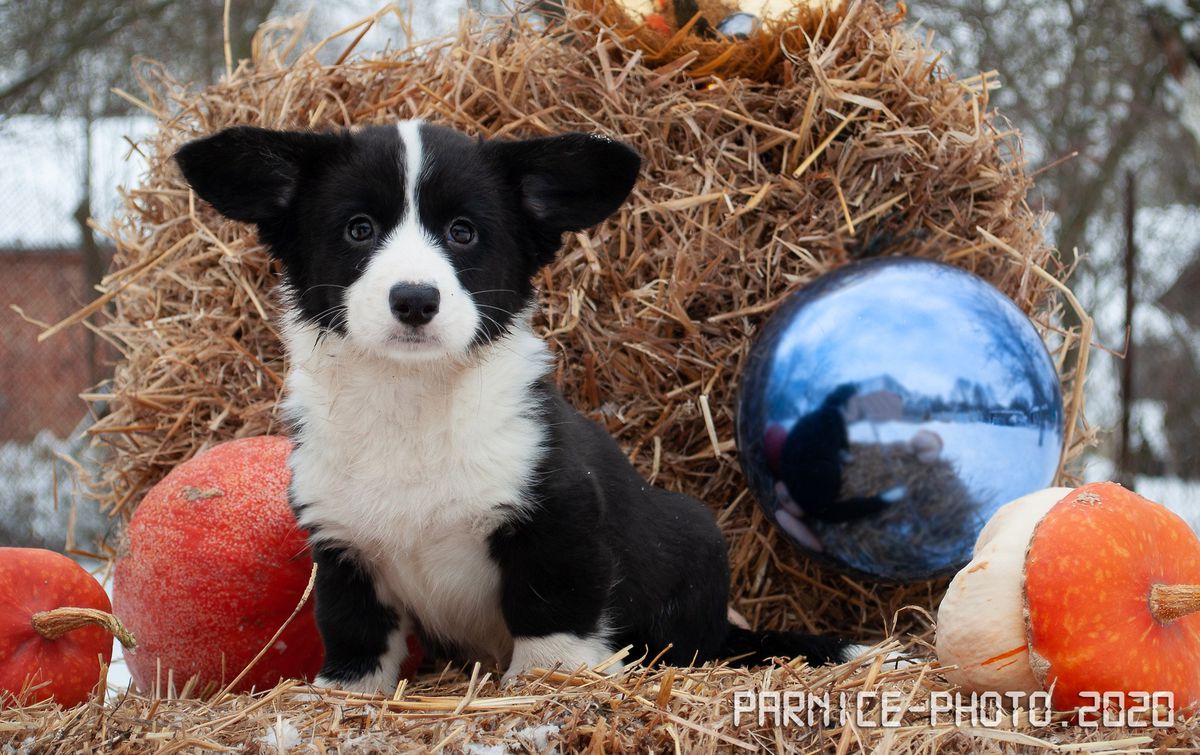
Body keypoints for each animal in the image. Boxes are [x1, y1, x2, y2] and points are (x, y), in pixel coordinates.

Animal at [174, 120, 859, 691]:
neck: (412, 397)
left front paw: (548, 678)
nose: (415, 300)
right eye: (359, 228)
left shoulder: (557, 516)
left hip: (696, 540)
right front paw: (344, 692)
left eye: (463, 232)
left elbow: (549, 605)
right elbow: (353, 629)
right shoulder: (342, 544)